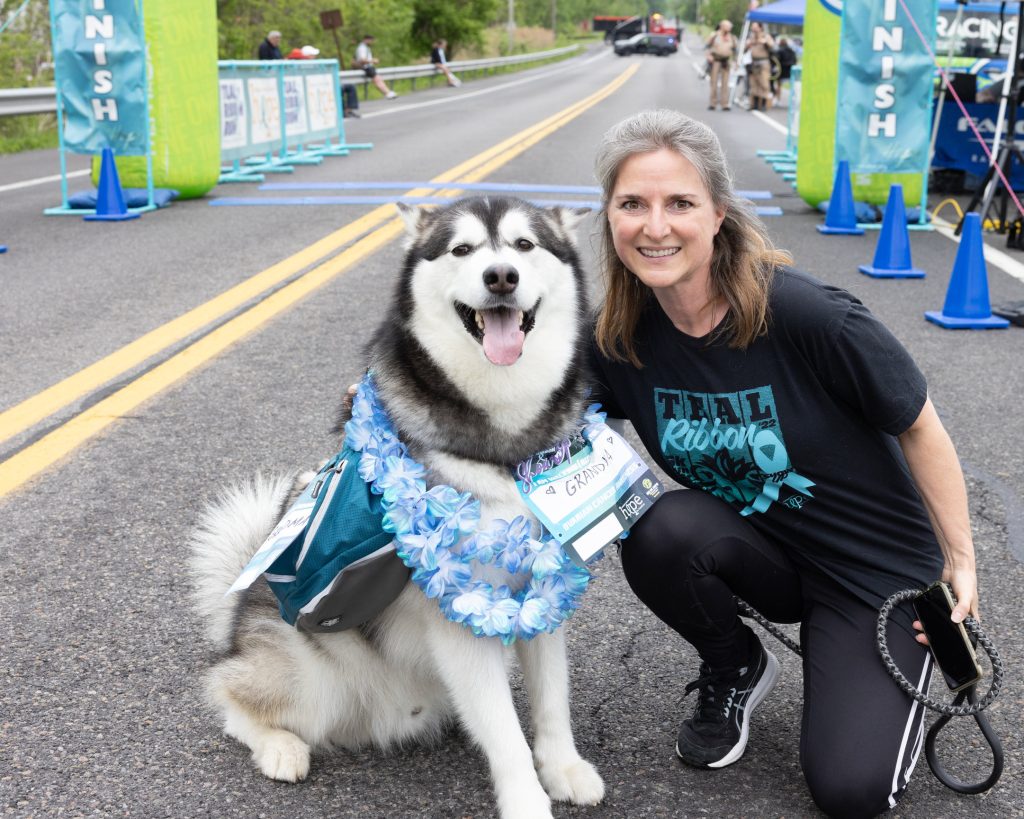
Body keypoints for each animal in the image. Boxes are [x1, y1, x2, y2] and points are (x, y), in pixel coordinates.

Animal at [190, 196, 598, 818]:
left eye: (525, 245)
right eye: (462, 249)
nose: (500, 277)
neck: (503, 442)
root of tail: (235, 617)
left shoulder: (543, 587)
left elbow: (553, 700)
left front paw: (565, 769)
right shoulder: (459, 623)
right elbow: (505, 733)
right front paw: (528, 802)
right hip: (307, 674)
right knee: (230, 696)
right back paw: (280, 748)